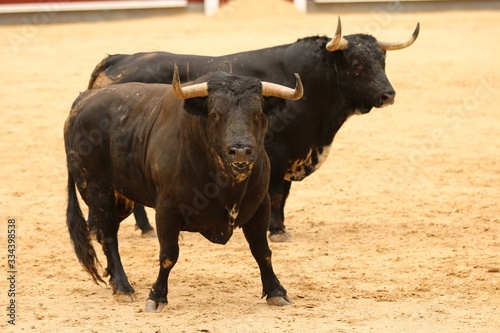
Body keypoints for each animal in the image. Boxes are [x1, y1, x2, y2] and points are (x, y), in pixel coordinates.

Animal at [64, 68, 302, 312]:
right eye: (215, 114)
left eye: (258, 113)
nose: (241, 151)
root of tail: (82, 101)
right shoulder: (167, 210)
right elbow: (168, 254)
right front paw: (157, 297)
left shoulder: (260, 205)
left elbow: (262, 251)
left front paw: (276, 291)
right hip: (98, 192)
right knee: (110, 237)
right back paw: (123, 286)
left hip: (121, 199)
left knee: (103, 234)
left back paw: (113, 279)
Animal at [89, 18, 418, 241]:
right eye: (357, 63)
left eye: (383, 60)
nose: (388, 95)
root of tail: (117, 59)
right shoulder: (279, 155)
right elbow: (277, 195)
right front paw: (277, 230)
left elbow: (283, 194)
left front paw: (280, 227)